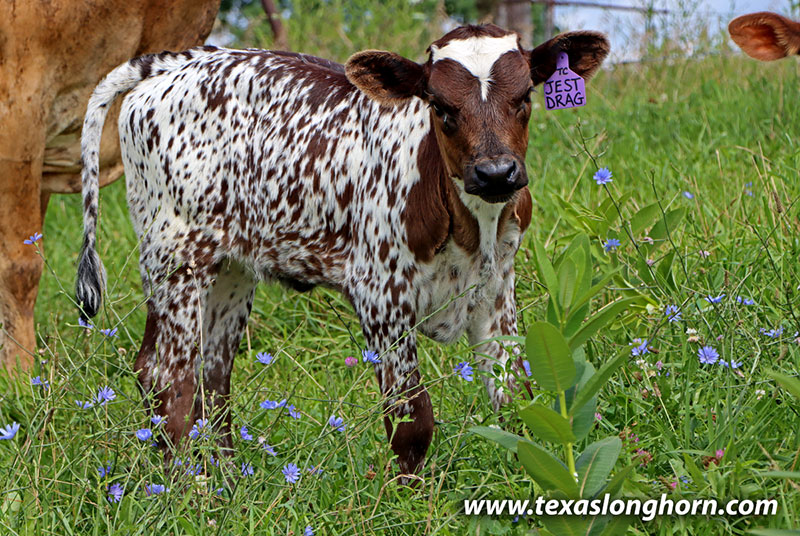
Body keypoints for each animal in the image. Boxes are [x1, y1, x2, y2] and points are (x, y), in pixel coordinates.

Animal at [76, 25, 609, 476]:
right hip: (176, 259)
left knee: (207, 377)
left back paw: (226, 481)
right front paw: (407, 502)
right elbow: (412, 422)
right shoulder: (382, 298)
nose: (496, 172)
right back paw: (187, 489)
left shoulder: (498, 291)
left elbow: (515, 402)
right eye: (440, 106)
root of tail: (179, 63)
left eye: (524, 97)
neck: (467, 223)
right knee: (171, 380)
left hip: (228, 269)